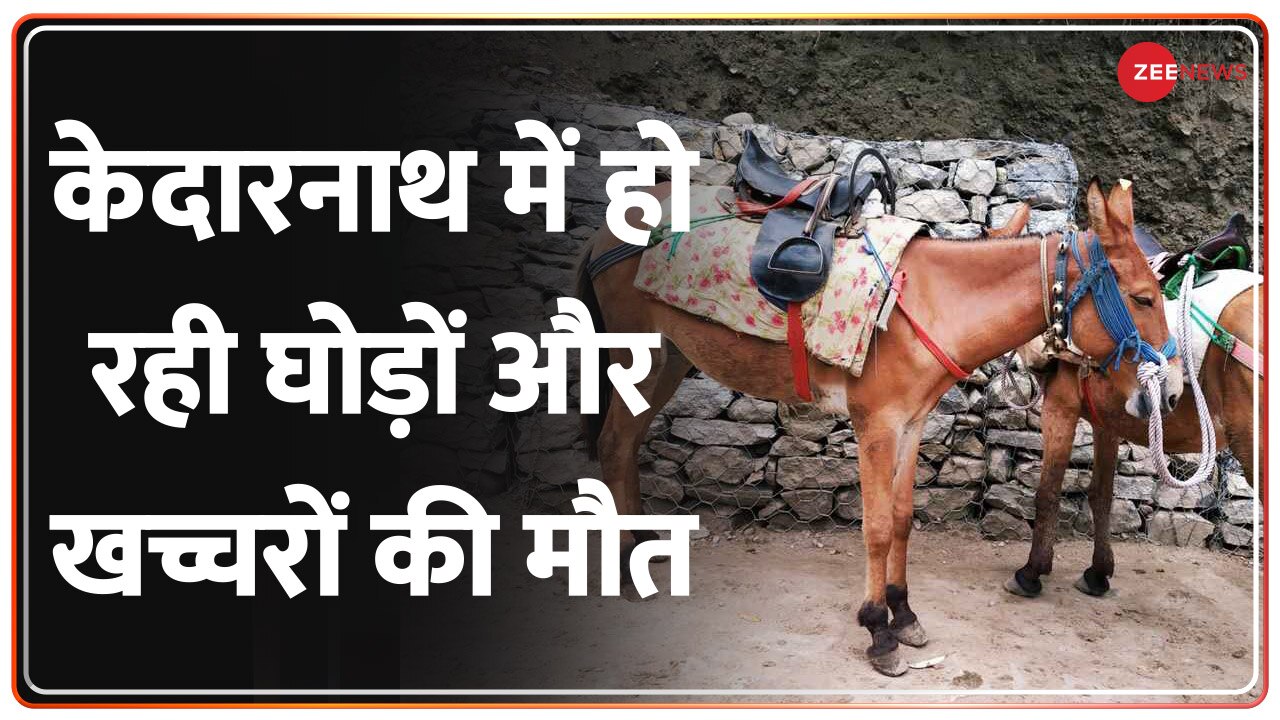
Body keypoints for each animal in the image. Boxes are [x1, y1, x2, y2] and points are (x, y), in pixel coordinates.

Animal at [575, 177, 1180, 676]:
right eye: (1143, 297)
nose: (1172, 390)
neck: (930, 302)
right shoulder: (876, 426)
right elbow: (877, 528)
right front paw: (877, 630)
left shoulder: (911, 424)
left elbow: (904, 518)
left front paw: (903, 613)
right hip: (641, 358)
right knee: (615, 444)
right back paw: (627, 568)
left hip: (670, 360)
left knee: (626, 444)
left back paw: (644, 551)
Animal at [1006, 252, 1261, 600]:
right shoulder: (1107, 423)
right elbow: (1101, 494)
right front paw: (1098, 574)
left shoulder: (1061, 406)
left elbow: (1048, 490)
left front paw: (1031, 572)